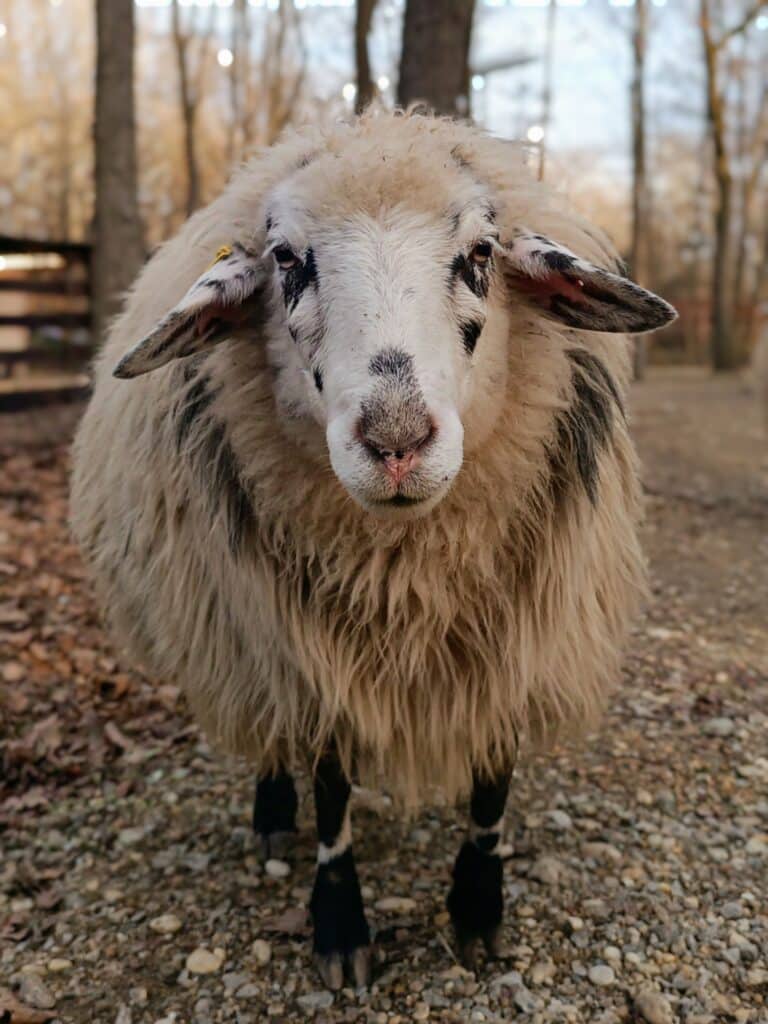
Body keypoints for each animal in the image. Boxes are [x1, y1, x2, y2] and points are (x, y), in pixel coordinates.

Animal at [70, 110, 676, 989]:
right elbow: (330, 786)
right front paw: (339, 924)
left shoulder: (519, 627)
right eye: (286, 259)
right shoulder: (311, 647)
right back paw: (271, 812)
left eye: (481, 253)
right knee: (273, 730)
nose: (395, 443)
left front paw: (478, 909)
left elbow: (493, 780)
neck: (409, 572)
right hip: (249, 630)